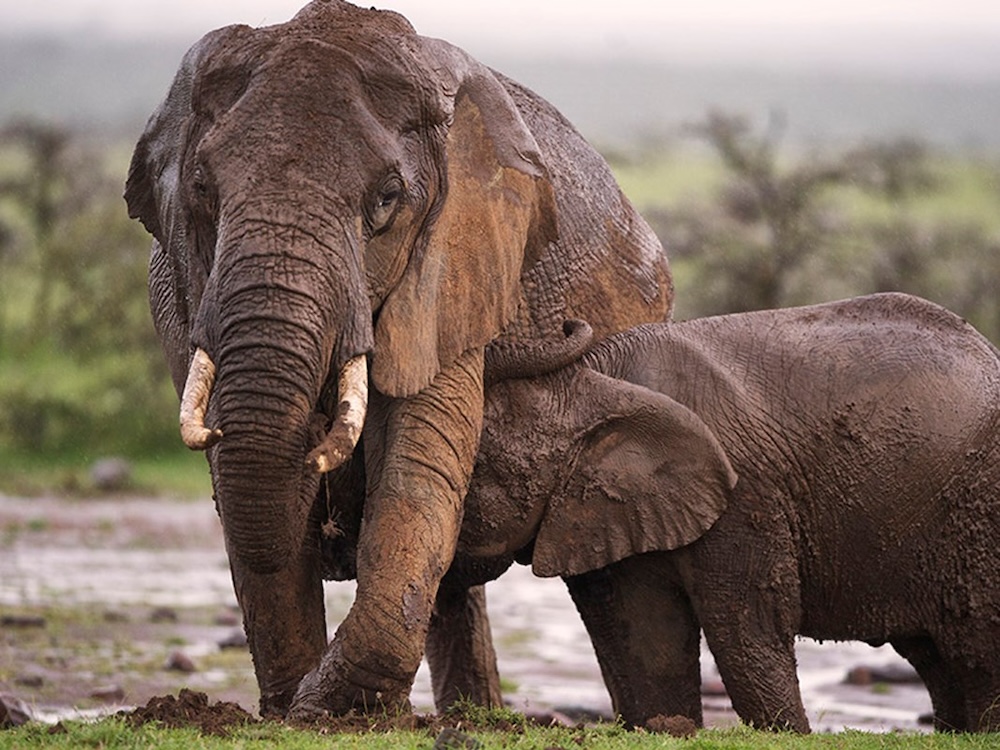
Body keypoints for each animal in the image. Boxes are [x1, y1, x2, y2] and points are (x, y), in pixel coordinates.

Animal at [123, 0, 673, 720]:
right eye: (201, 191)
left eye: (386, 200)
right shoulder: (179, 293)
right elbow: (244, 474)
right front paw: (295, 711)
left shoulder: (455, 268)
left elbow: (417, 460)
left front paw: (329, 713)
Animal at [460, 292, 1000, 733]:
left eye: (475, 470)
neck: (592, 379)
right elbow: (642, 638)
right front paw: (667, 726)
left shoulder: (745, 499)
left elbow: (744, 625)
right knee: (939, 659)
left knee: (977, 647)